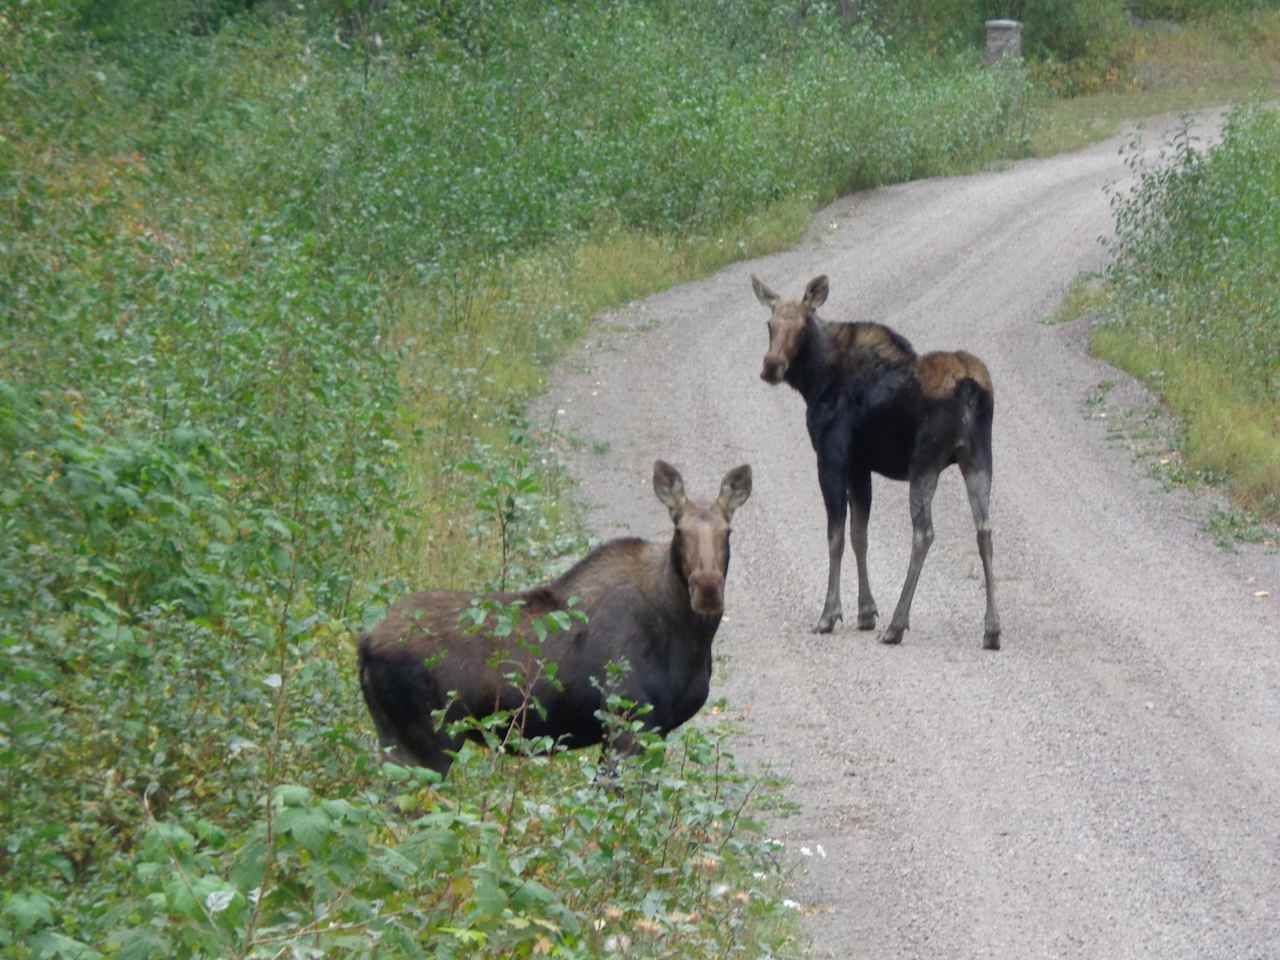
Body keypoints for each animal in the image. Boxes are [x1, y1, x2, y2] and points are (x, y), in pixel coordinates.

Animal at [360, 455, 747, 773]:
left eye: (727, 531)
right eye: (679, 530)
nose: (708, 589)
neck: (690, 639)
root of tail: (364, 645)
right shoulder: (628, 723)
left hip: (393, 737)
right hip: (431, 740)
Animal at [747, 277, 998, 655]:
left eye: (802, 326)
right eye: (769, 324)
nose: (772, 365)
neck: (815, 381)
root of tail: (970, 385)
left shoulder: (832, 459)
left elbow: (836, 535)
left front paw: (829, 614)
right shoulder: (860, 466)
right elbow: (859, 535)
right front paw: (865, 612)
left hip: (924, 462)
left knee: (924, 532)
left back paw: (896, 625)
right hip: (979, 458)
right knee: (984, 531)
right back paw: (992, 629)